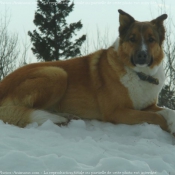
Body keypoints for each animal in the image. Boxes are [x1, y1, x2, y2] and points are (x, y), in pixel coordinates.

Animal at [0, 9, 174, 135]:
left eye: (151, 40)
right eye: (132, 39)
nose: (142, 55)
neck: (140, 74)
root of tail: (3, 84)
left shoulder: (147, 106)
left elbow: (167, 111)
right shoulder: (116, 112)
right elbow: (156, 117)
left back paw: (66, 117)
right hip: (57, 73)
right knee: (31, 110)